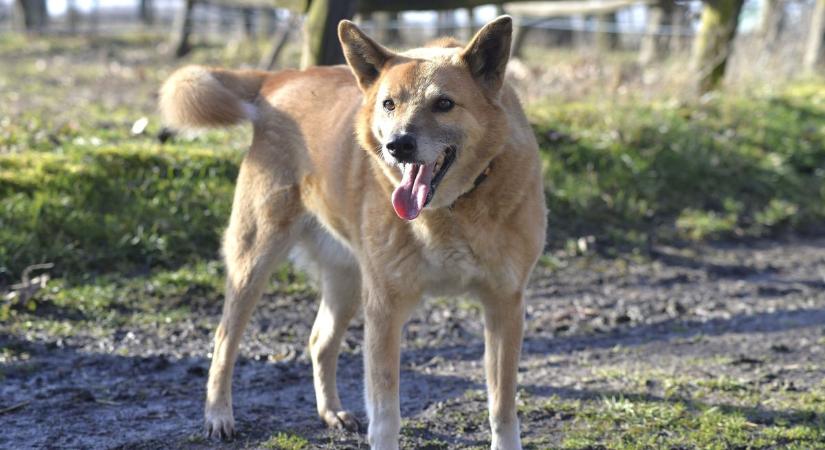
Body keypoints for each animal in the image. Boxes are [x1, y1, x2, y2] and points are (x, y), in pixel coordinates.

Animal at [161, 15, 548, 448]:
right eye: (389, 103)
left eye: (444, 103)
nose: (398, 145)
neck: (449, 211)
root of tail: (283, 78)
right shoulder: (384, 308)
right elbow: (385, 412)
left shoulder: (504, 306)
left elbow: (502, 406)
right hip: (254, 261)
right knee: (224, 338)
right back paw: (218, 415)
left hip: (347, 281)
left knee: (319, 341)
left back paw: (330, 411)